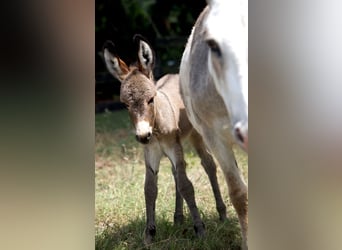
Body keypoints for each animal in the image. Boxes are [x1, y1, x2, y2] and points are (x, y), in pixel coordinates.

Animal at [104, 35, 227, 244]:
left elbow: (186, 186)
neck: (156, 129)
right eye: (125, 104)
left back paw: (222, 213)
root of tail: (175, 74)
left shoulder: (173, 147)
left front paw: (200, 230)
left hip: (195, 135)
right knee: (176, 172)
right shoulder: (151, 152)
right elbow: (149, 189)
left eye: (151, 99)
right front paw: (149, 235)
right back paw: (178, 218)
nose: (143, 135)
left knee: (208, 163)